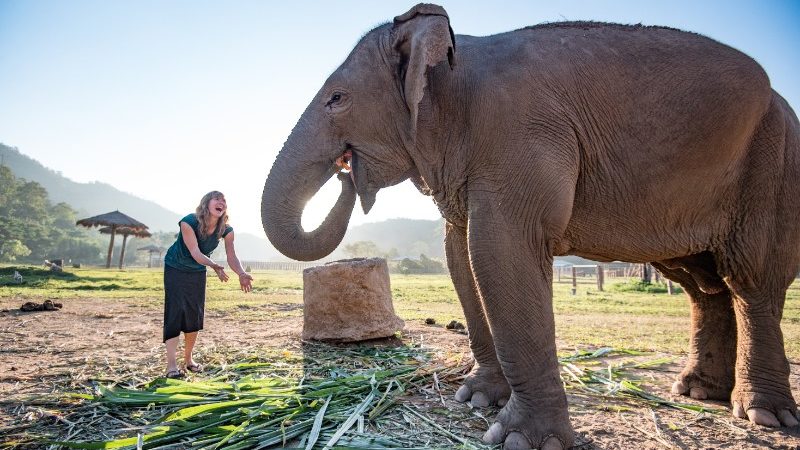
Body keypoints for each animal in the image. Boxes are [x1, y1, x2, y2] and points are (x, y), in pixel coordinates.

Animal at [261, 4, 800, 449]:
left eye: (336, 98)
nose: (345, 173)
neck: (456, 58)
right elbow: (461, 256)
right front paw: (477, 400)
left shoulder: (521, 138)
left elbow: (498, 250)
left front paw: (522, 439)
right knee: (702, 284)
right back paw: (696, 391)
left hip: (772, 167)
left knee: (750, 280)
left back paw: (763, 416)